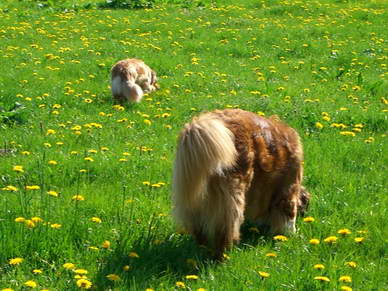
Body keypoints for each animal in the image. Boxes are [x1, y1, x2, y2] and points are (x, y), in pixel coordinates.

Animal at [173, 109, 310, 260]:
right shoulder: (289, 187)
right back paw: (223, 257)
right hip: (233, 195)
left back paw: (203, 251)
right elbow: (290, 215)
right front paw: (290, 235)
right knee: (225, 229)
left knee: (200, 231)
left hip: (196, 199)